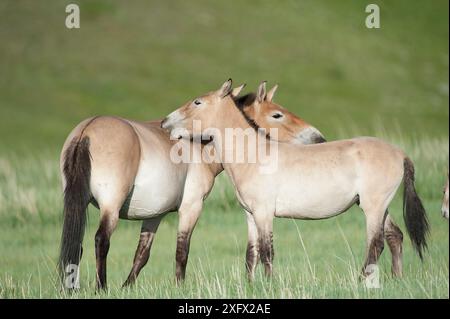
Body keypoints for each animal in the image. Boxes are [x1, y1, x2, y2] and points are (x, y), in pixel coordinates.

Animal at [58, 84, 324, 290]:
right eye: (278, 115)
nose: (318, 138)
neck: (201, 145)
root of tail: (87, 131)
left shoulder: (154, 215)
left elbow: (141, 255)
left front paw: (127, 286)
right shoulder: (191, 207)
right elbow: (182, 251)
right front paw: (179, 286)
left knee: (75, 245)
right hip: (110, 207)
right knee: (101, 240)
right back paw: (101, 287)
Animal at [161, 79, 428, 282]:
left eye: (197, 102)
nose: (165, 122)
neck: (254, 154)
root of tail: (400, 154)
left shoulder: (264, 213)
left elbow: (267, 252)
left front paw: (269, 285)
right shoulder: (250, 215)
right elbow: (251, 254)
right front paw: (250, 285)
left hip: (373, 208)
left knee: (376, 244)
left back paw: (362, 281)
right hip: (379, 207)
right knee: (395, 236)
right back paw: (396, 278)